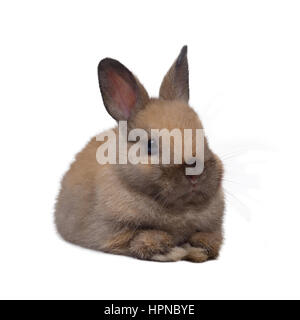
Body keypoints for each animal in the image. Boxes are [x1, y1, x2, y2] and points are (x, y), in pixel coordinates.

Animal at [54, 45, 225, 262]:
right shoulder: (113, 231)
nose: (195, 173)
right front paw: (175, 250)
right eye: (150, 145)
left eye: (204, 138)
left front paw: (196, 249)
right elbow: (146, 239)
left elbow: (207, 239)